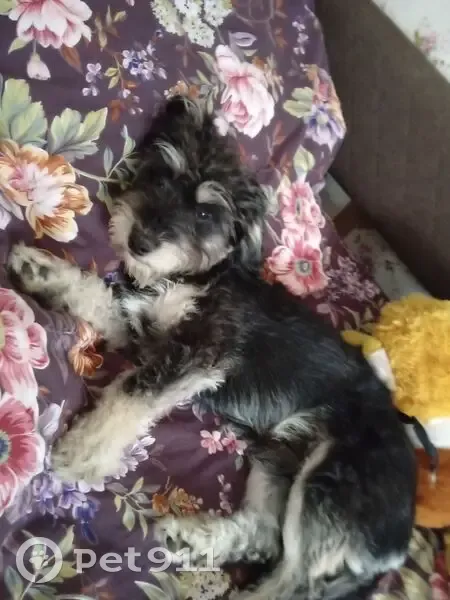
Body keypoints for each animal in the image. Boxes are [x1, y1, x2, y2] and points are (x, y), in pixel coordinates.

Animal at [8, 96, 416, 600]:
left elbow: (129, 397)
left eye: (206, 214)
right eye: (160, 176)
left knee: (296, 582)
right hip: (277, 456)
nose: (139, 241)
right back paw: (191, 538)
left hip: (326, 488)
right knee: (265, 534)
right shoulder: (144, 332)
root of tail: (397, 546)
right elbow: (97, 295)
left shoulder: (199, 354)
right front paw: (42, 271)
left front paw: (83, 453)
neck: (197, 275)